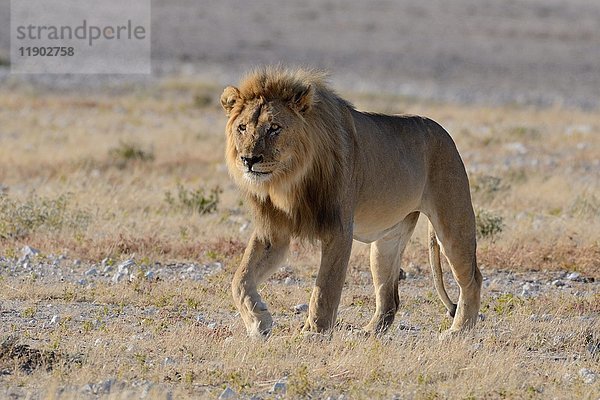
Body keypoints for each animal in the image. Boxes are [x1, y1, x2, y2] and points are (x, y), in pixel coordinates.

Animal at [220, 66, 482, 338]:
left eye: (274, 128)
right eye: (242, 127)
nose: (249, 159)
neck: (289, 180)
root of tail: (443, 131)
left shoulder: (339, 230)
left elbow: (325, 289)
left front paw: (313, 333)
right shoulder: (273, 231)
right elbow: (240, 279)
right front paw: (258, 321)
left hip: (453, 222)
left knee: (472, 279)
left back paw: (459, 330)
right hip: (386, 243)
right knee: (390, 297)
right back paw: (368, 331)